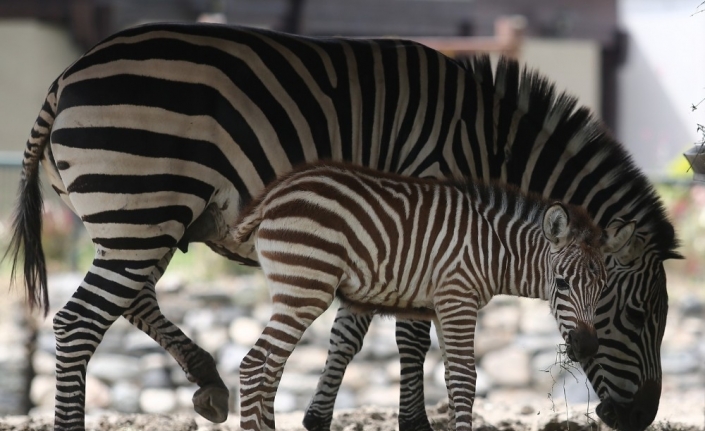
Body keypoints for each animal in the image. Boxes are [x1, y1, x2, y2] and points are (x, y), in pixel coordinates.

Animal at [231, 163, 632, 431]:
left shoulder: (443, 307)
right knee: (254, 366)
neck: (495, 250)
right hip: (305, 288)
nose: (585, 347)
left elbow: (453, 380)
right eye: (561, 284)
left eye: (602, 288)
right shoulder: (458, 300)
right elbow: (466, 379)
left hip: (296, 291)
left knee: (269, 368)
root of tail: (275, 193)